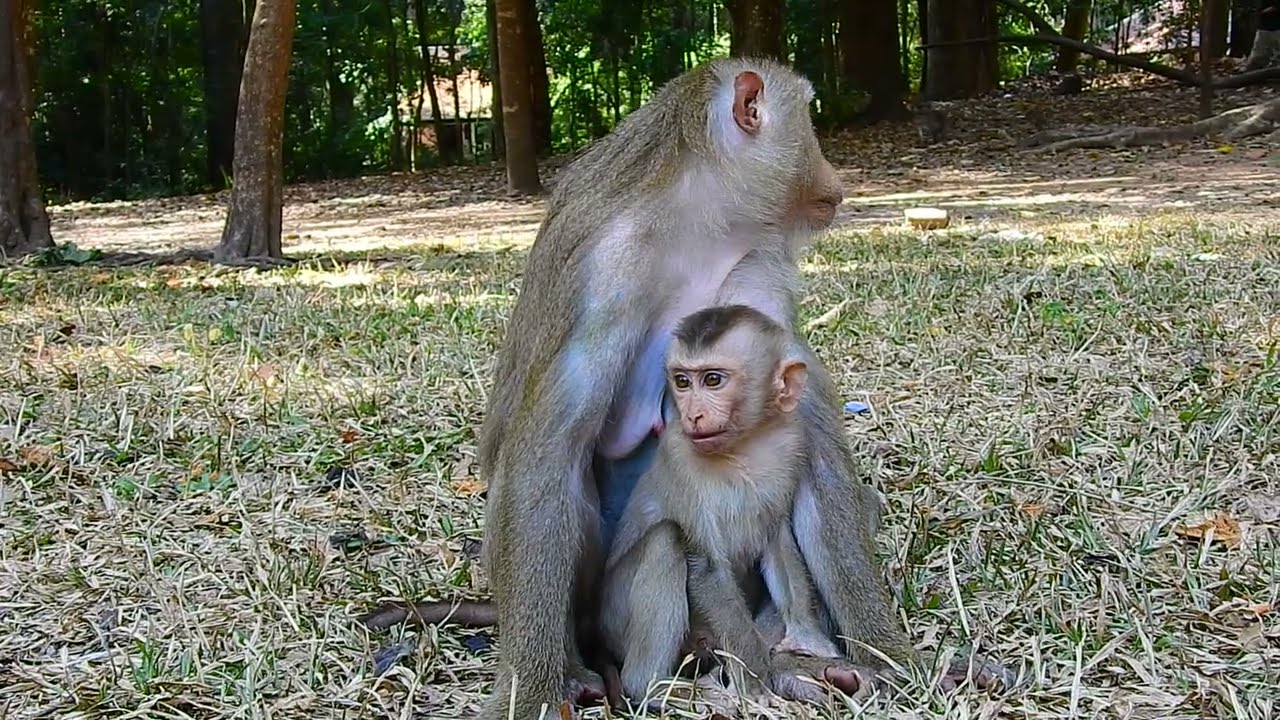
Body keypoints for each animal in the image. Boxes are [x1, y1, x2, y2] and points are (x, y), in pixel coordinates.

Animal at [598, 305, 868, 707]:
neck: (743, 449)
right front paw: (757, 685)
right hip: (615, 618)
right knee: (666, 539)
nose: (692, 414)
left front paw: (807, 639)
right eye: (682, 382)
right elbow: (709, 567)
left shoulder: (790, 445)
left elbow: (777, 540)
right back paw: (655, 686)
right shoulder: (681, 459)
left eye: (712, 380)